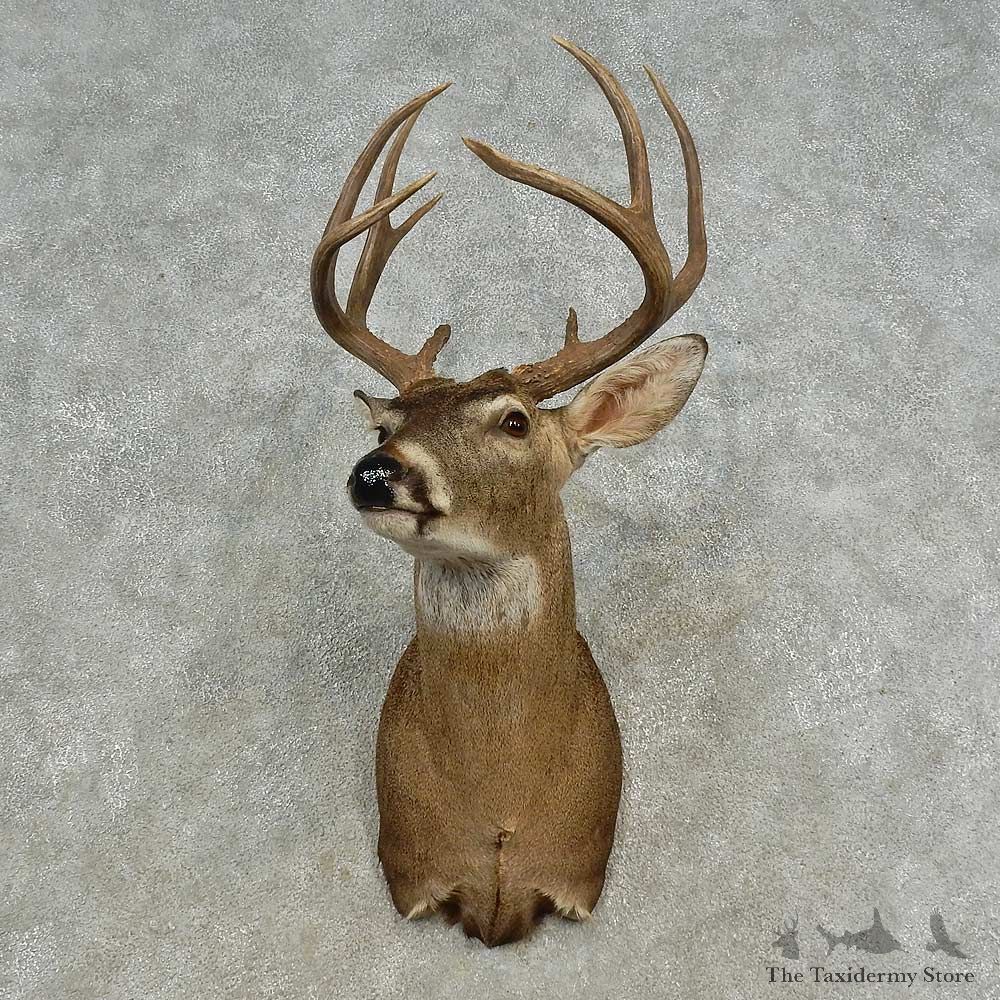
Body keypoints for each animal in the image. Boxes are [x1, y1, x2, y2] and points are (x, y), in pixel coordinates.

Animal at [311, 37, 707, 947]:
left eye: (516, 421)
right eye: (382, 428)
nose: (377, 473)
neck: (498, 806)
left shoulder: (577, 871)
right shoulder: (414, 868)